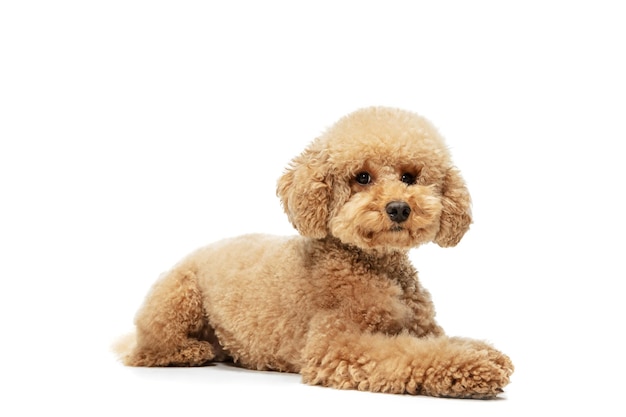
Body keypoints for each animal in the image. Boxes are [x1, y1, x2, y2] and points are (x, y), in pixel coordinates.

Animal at [116, 106, 512, 396]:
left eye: (409, 177)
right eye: (362, 177)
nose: (399, 208)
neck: (373, 264)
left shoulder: (423, 328)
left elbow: (442, 342)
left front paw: (483, 351)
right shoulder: (335, 345)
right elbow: (406, 354)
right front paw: (476, 367)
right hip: (178, 298)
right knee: (146, 352)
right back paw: (192, 351)